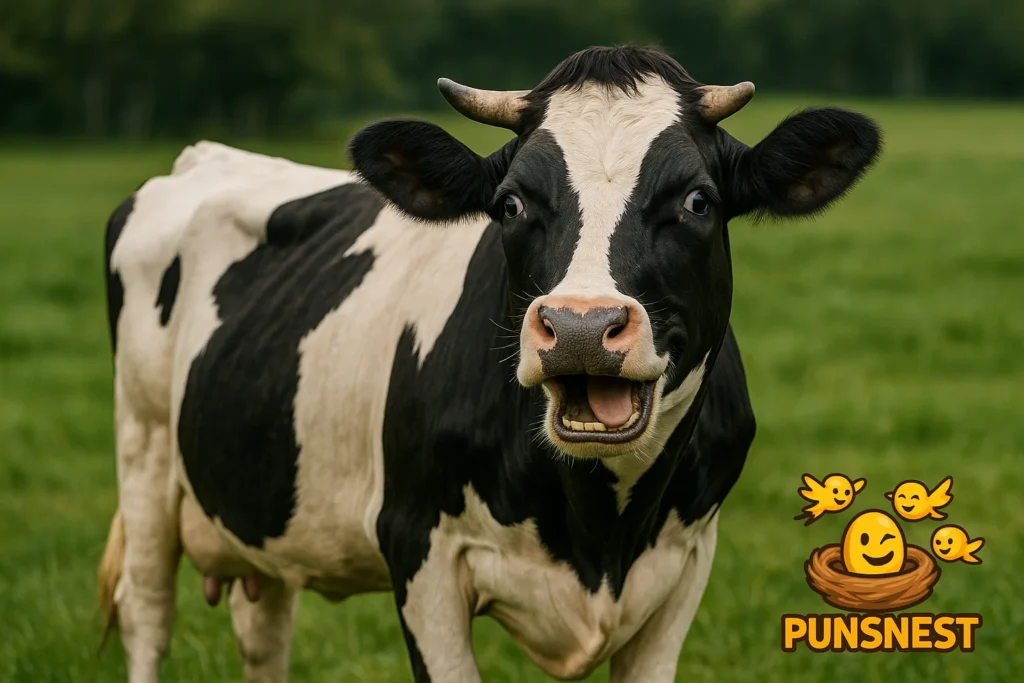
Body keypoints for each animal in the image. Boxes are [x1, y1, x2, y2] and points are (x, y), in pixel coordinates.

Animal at [97, 45, 880, 682]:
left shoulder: (687, 561)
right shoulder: (419, 549)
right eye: (510, 204)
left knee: (263, 632)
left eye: (697, 201)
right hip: (143, 454)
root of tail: (210, 155)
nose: (581, 327)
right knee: (147, 616)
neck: (599, 530)